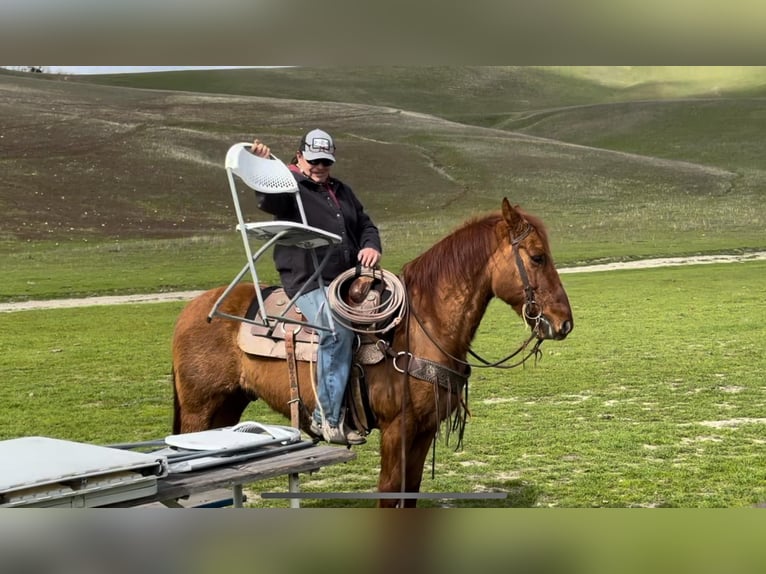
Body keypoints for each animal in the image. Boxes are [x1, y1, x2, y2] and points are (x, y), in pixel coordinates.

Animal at [171, 200, 572, 510]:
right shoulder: (397, 430)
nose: (564, 323)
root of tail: (191, 310)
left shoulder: (424, 430)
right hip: (199, 412)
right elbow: (389, 495)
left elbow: (411, 494)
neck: (420, 329)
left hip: (228, 406)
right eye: (538, 257)